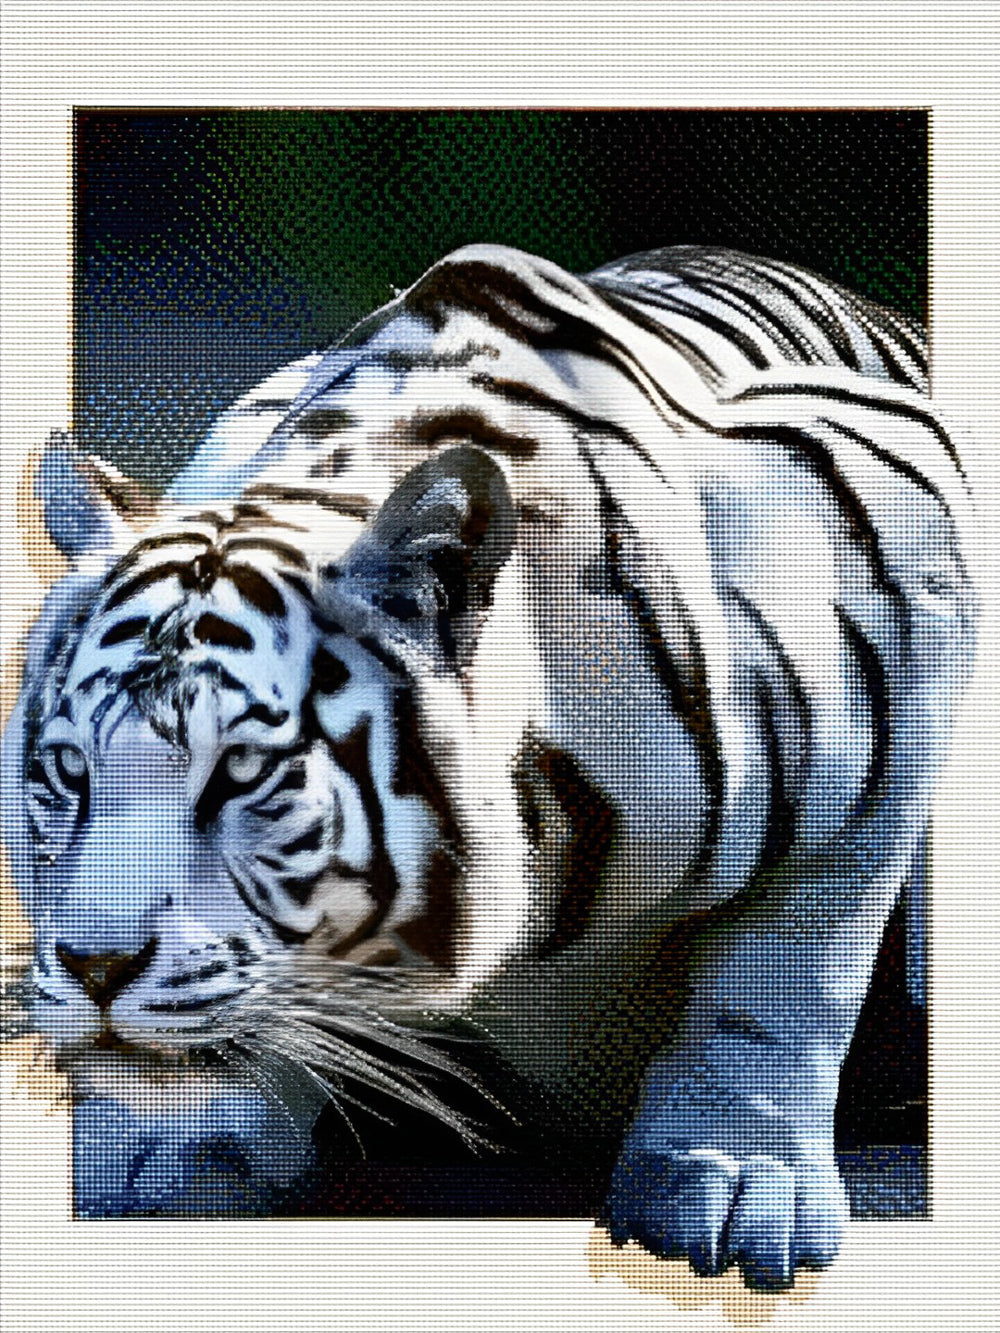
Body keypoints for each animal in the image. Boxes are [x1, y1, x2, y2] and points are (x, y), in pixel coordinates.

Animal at [1, 244, 976, 1287]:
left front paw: (731, 1180)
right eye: (69, 771)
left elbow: (790, 970)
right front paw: (171, 1140)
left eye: (244, 772)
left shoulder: (912, 568)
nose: (95, 968)